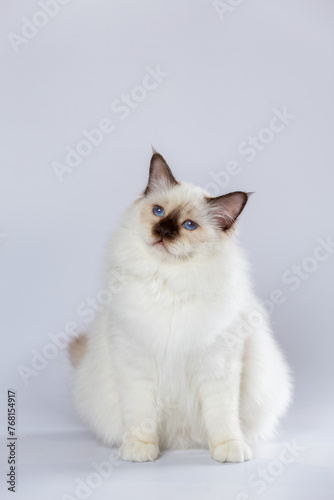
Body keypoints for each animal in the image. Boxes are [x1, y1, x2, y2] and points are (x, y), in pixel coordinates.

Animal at [69, 149, 290, 464]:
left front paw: (228, 449)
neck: (169, 284)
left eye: (189, 225)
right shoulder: (134, 362)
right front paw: (140, 450)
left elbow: (222, 416)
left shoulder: (218, 365)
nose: (162, 230)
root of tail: (180, 443)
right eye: (158, 211)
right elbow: (141, 417)